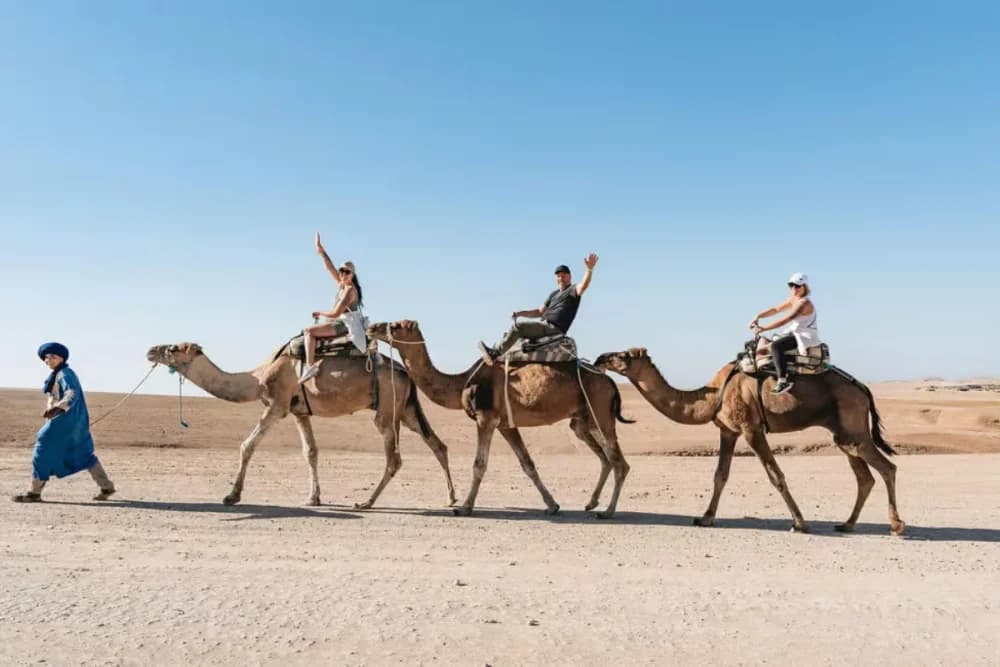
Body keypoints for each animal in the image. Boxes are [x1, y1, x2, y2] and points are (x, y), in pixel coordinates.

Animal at [145, 342, 456, 508]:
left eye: (173, 348)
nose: (150, 350)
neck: (258, 378)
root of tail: (405, 372)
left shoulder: (278, 404)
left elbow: (247, 445)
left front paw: (232, 496)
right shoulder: (300, 412)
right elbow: (311, 452)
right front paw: (313, 498)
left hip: (388, 408)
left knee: (394, 458)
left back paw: (367, 502)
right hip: (406, 409)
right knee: (437, 444)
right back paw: (451, 498)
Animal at [366, 320, 634, 518]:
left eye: (396, 325)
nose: (372, 327)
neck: (461, 382)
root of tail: (609, 381)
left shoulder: (486, 419)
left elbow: (479, 464)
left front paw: (464, 507)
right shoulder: (506, 424)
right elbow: (527, 464)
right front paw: (552, 505)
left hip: (600, 412)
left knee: (619, 462)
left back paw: (608, 511)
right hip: (583, 420)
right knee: (606, 458)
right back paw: (592, 503)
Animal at [593, 348, 905, 536]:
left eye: (624, 354)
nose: (600, 358)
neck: (712, 395)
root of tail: (863, 388)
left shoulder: (751, 428)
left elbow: (775, 475)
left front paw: (800, 523)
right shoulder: (728, 431)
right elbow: (720, 475)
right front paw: (705, 518)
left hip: (853, 428)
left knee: (887, 468)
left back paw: (896, 525)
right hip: (843, 434)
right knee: (864, 477)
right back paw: (847, 524)